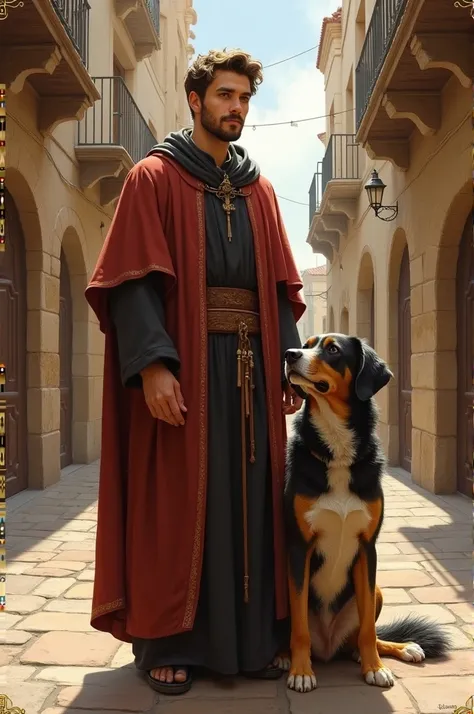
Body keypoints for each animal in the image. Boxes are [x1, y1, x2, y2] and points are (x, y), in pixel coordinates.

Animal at [284, 332, 450, 688]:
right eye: (306, 344)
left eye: (332, 349)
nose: (289, 354)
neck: (337, 449)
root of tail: (329, 647)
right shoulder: (299, 547)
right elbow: (300, 627)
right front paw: (301, 672)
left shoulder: (366, 547)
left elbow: (369, 631)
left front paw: (374, 667)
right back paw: (284, 657)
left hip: (376, 590)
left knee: (362, 636)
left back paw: (401, 648)